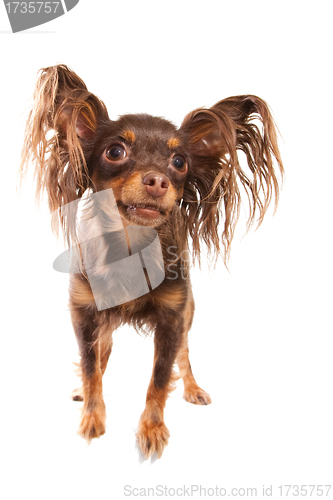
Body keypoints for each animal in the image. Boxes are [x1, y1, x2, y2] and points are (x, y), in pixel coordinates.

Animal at [18, 64, 282, 458]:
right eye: (115, 151)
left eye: (179, 162)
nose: (158, 180)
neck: (130, 243)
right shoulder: (84, 314)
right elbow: (91, 366)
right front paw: (92, 417)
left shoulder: (172, 319)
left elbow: (159, 378)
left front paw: (152, 429)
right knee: (101, 354)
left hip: (188, 317)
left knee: (184, 356)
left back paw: (193, 388)